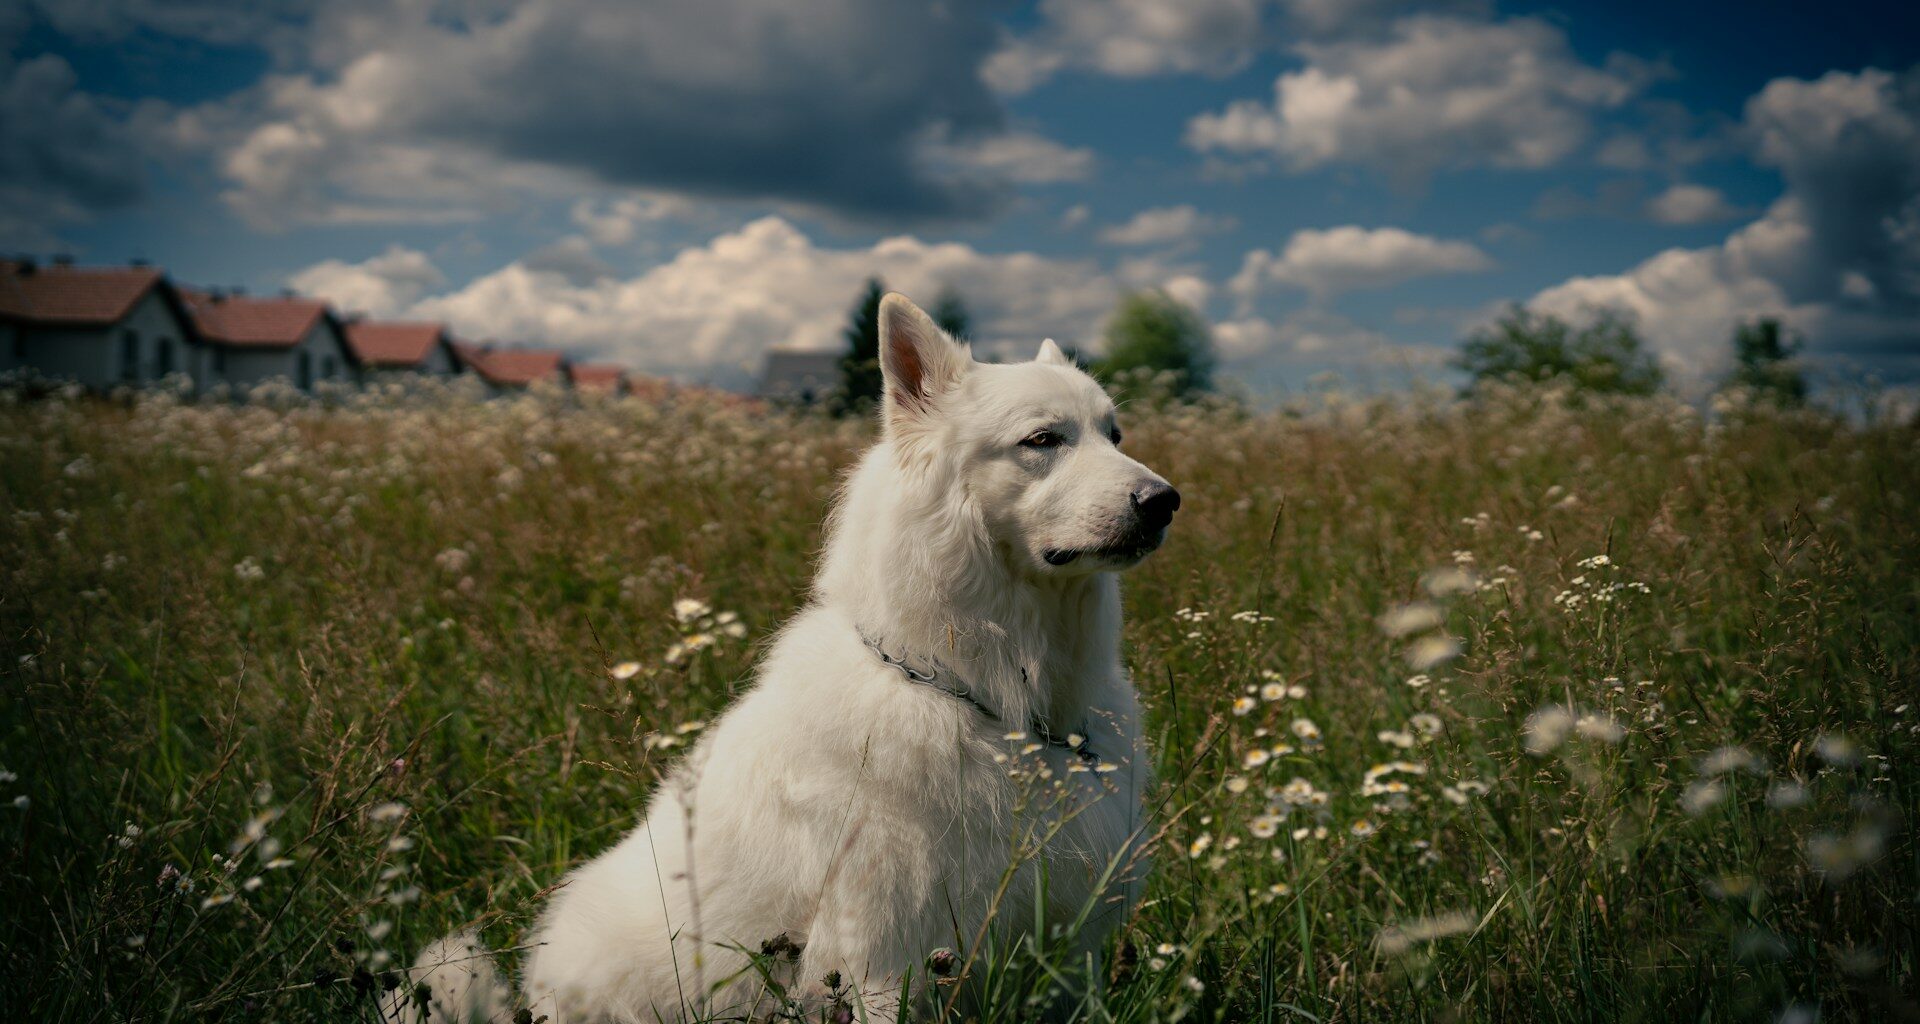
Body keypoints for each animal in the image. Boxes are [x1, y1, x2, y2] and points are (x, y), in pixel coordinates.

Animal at [399, 292, 1175, 1014]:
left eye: (1115, 434)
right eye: (1043, 439)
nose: (1165, 500)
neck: (990, 704)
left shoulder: (1068, 948)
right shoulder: (884, 957)